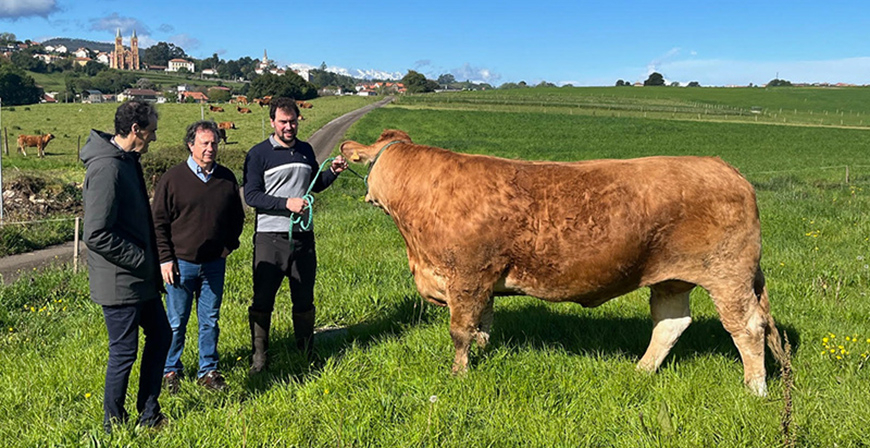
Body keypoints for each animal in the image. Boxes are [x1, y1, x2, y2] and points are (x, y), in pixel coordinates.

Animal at [342, 129, 792, 396]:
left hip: (728, 274)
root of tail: (723, 167)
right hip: (672, 277)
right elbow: (482, 327)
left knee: (748, 328)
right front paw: (481, 356)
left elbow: (460, 332)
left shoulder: (467, 275)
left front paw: (458, 376)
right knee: (671, 322)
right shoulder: (482, 282)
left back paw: (755, 389)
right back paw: (641, 372)